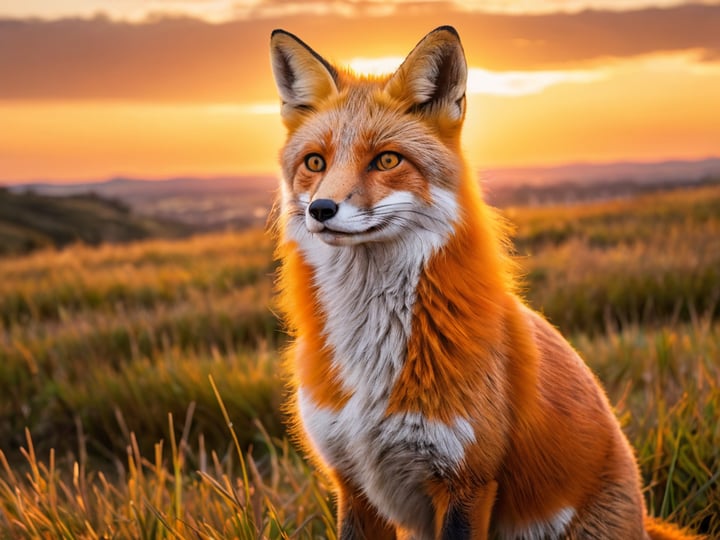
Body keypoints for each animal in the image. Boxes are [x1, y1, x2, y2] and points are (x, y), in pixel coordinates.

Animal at [269, 26, 703, 540]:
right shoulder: (352, 483)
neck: (372, 353)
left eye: (387, 160)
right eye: (315, 163)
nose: (321, 210)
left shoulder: (467, 480)